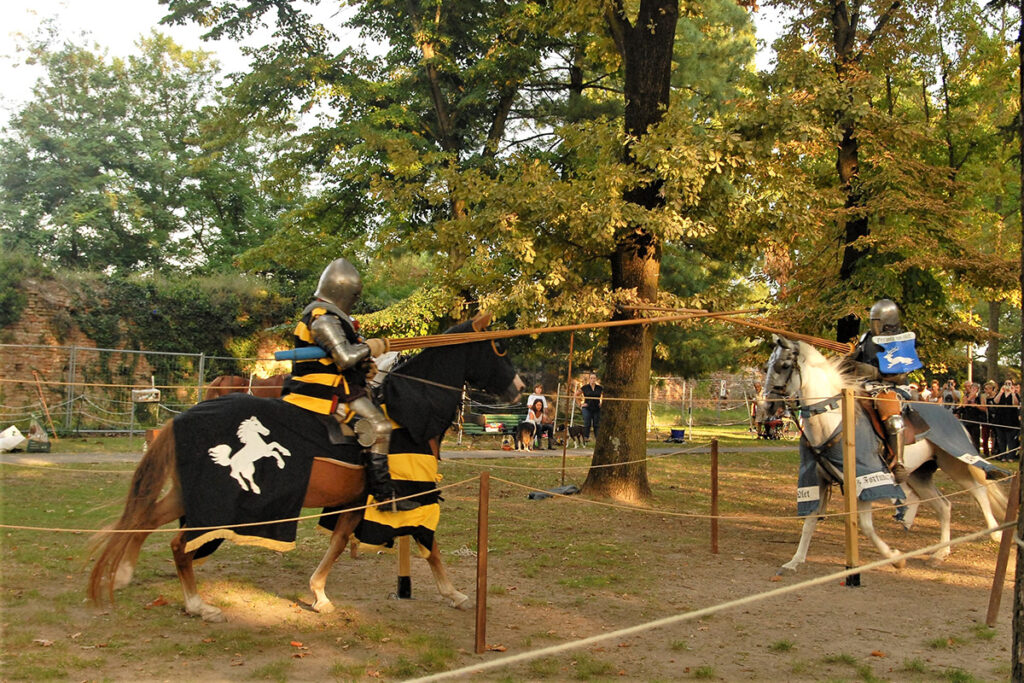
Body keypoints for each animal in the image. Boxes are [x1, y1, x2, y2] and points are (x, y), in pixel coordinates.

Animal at [86, 317, 520, 622]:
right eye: (498, 347)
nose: (518, 386)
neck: (408, 411)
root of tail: (182, 418)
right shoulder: (411, 492)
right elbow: (428, 542)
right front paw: (455, 594)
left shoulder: (355, 499)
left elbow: (340, 541)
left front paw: (319, 594)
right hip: (214, 502)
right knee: (179, 543)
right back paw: (198, 605)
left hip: (184, 492)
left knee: (146, 518)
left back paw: (125, 573)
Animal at [761, 335, 1007, 573]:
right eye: (768, 366)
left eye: (784, 365)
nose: (766, 406)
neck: (832, 420)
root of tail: (953, 417)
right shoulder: (817, 481)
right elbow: (810, 521)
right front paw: (795, 561)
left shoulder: (864, 482)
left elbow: (866, 526)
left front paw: (895, 559)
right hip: (918, 474)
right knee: (944, 506)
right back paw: (940, 552)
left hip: (955, 462)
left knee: (979, 490)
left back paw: (994, 533)